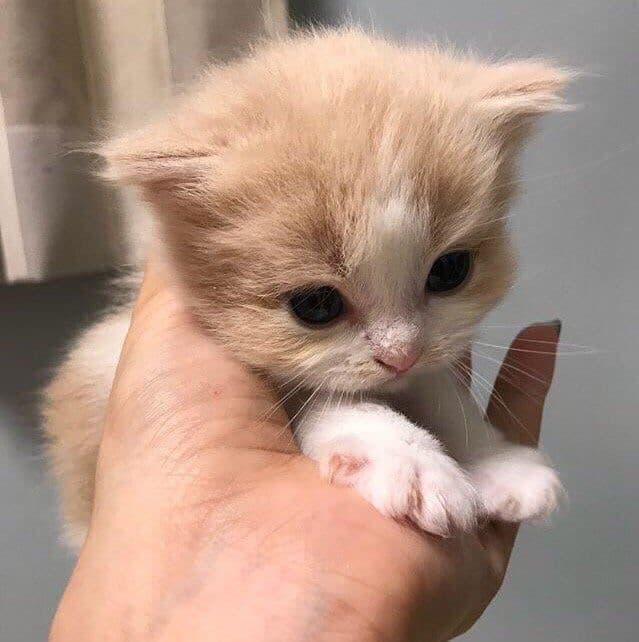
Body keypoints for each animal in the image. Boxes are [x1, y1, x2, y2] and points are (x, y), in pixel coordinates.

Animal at [41, 28, 568, 544]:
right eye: (316, 304)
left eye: (449, 271)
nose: (400, 355)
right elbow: (330, 403)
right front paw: (412, 463)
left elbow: (440, 390)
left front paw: (499, 463)